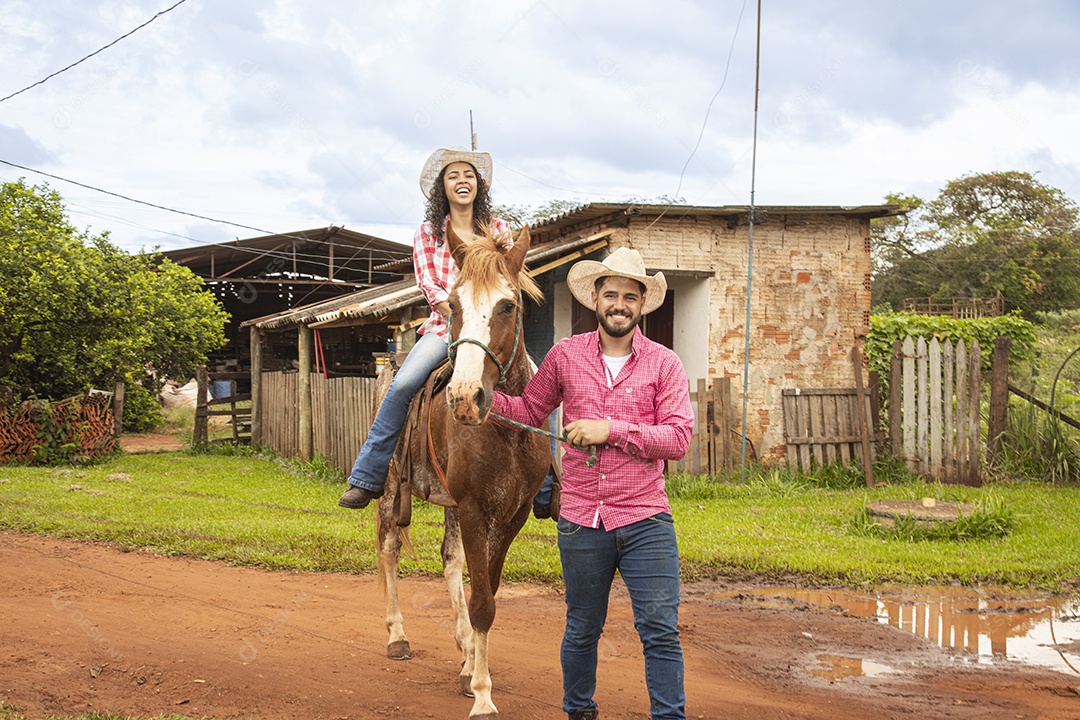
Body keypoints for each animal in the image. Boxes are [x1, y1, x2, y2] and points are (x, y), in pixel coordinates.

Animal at [375, 222, 552, 716]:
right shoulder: (474, 508)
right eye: (453, 304)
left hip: (451, 504)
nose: (465, 398)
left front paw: (472, 668)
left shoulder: (511, 516)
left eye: (508, 305)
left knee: (450, 560)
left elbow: (484, 591)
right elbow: (483, 604)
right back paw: (397, 636)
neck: (508, 428)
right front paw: (483, 696)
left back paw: (463, 648)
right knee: (389, 548)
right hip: (391, 487)